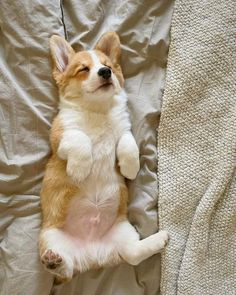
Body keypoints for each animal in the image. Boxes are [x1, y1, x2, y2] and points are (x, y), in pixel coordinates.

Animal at [38, 31, 168, 284]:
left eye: (107, 65)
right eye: (83, 69)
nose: (105, 72)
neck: (96, 110)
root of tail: (92, 256)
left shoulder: (124, 130)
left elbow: (128, 144)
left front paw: (129, 168)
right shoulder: (61, 134)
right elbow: (81, 140)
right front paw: (80, 169)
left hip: (124, 232)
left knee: (133, 254)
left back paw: (161, 238)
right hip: (50, 236)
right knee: (66, 270)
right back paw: (53, 261)